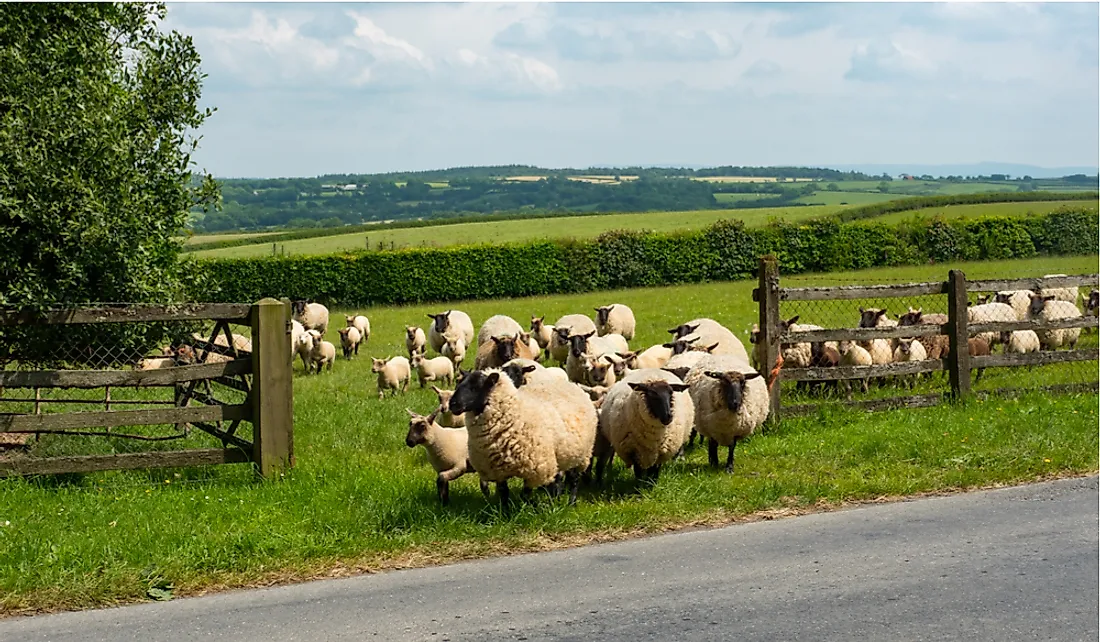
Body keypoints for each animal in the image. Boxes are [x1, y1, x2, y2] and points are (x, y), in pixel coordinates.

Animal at [446, 367, 563, 512]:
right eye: (457, 385)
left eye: (475, 387)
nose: (452, 404)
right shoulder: (497, 470)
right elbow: (503, 492)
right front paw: (504, 512)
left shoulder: (534, 469)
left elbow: (526, 493)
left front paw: (526, 507)